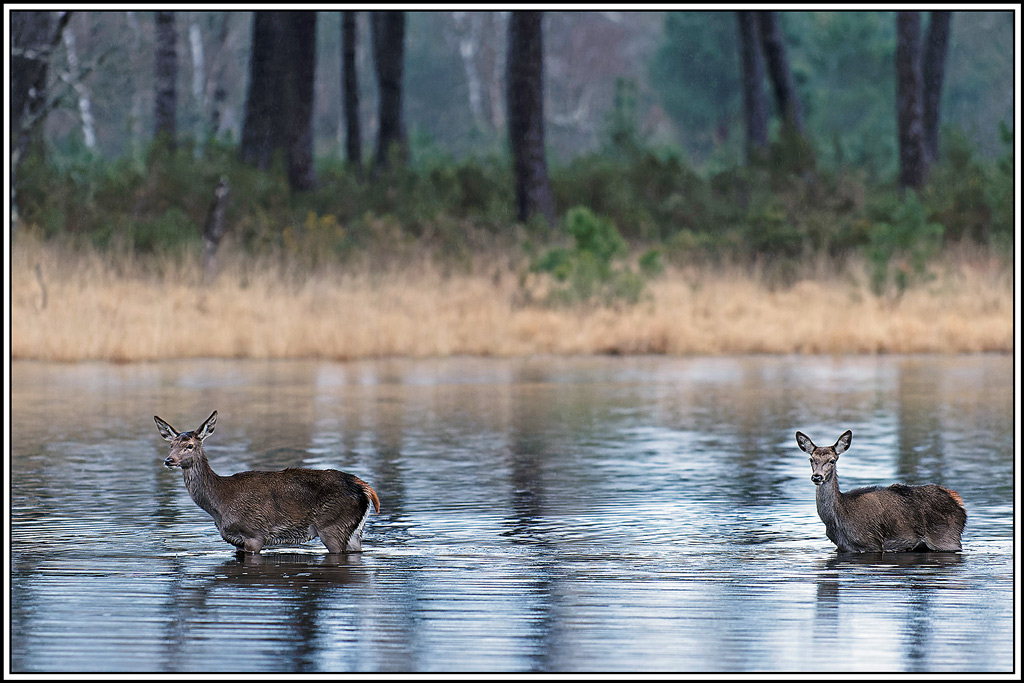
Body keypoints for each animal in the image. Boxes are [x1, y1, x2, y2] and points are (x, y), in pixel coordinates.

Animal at [155, 410, 379, 554]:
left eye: (190, 445)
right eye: (171, 445)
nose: (169, 460)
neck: (219, 502)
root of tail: (365, 488)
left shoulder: (254, 534)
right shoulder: (236, 541)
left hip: (333, 526)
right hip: (353, 532)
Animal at [796, 430, 966, 553]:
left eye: (832, 460)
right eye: (811, 459)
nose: (817, 476)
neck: (838, 519)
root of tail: (959, 504)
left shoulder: (871, 543)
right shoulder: (843, 547)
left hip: (947, 539)